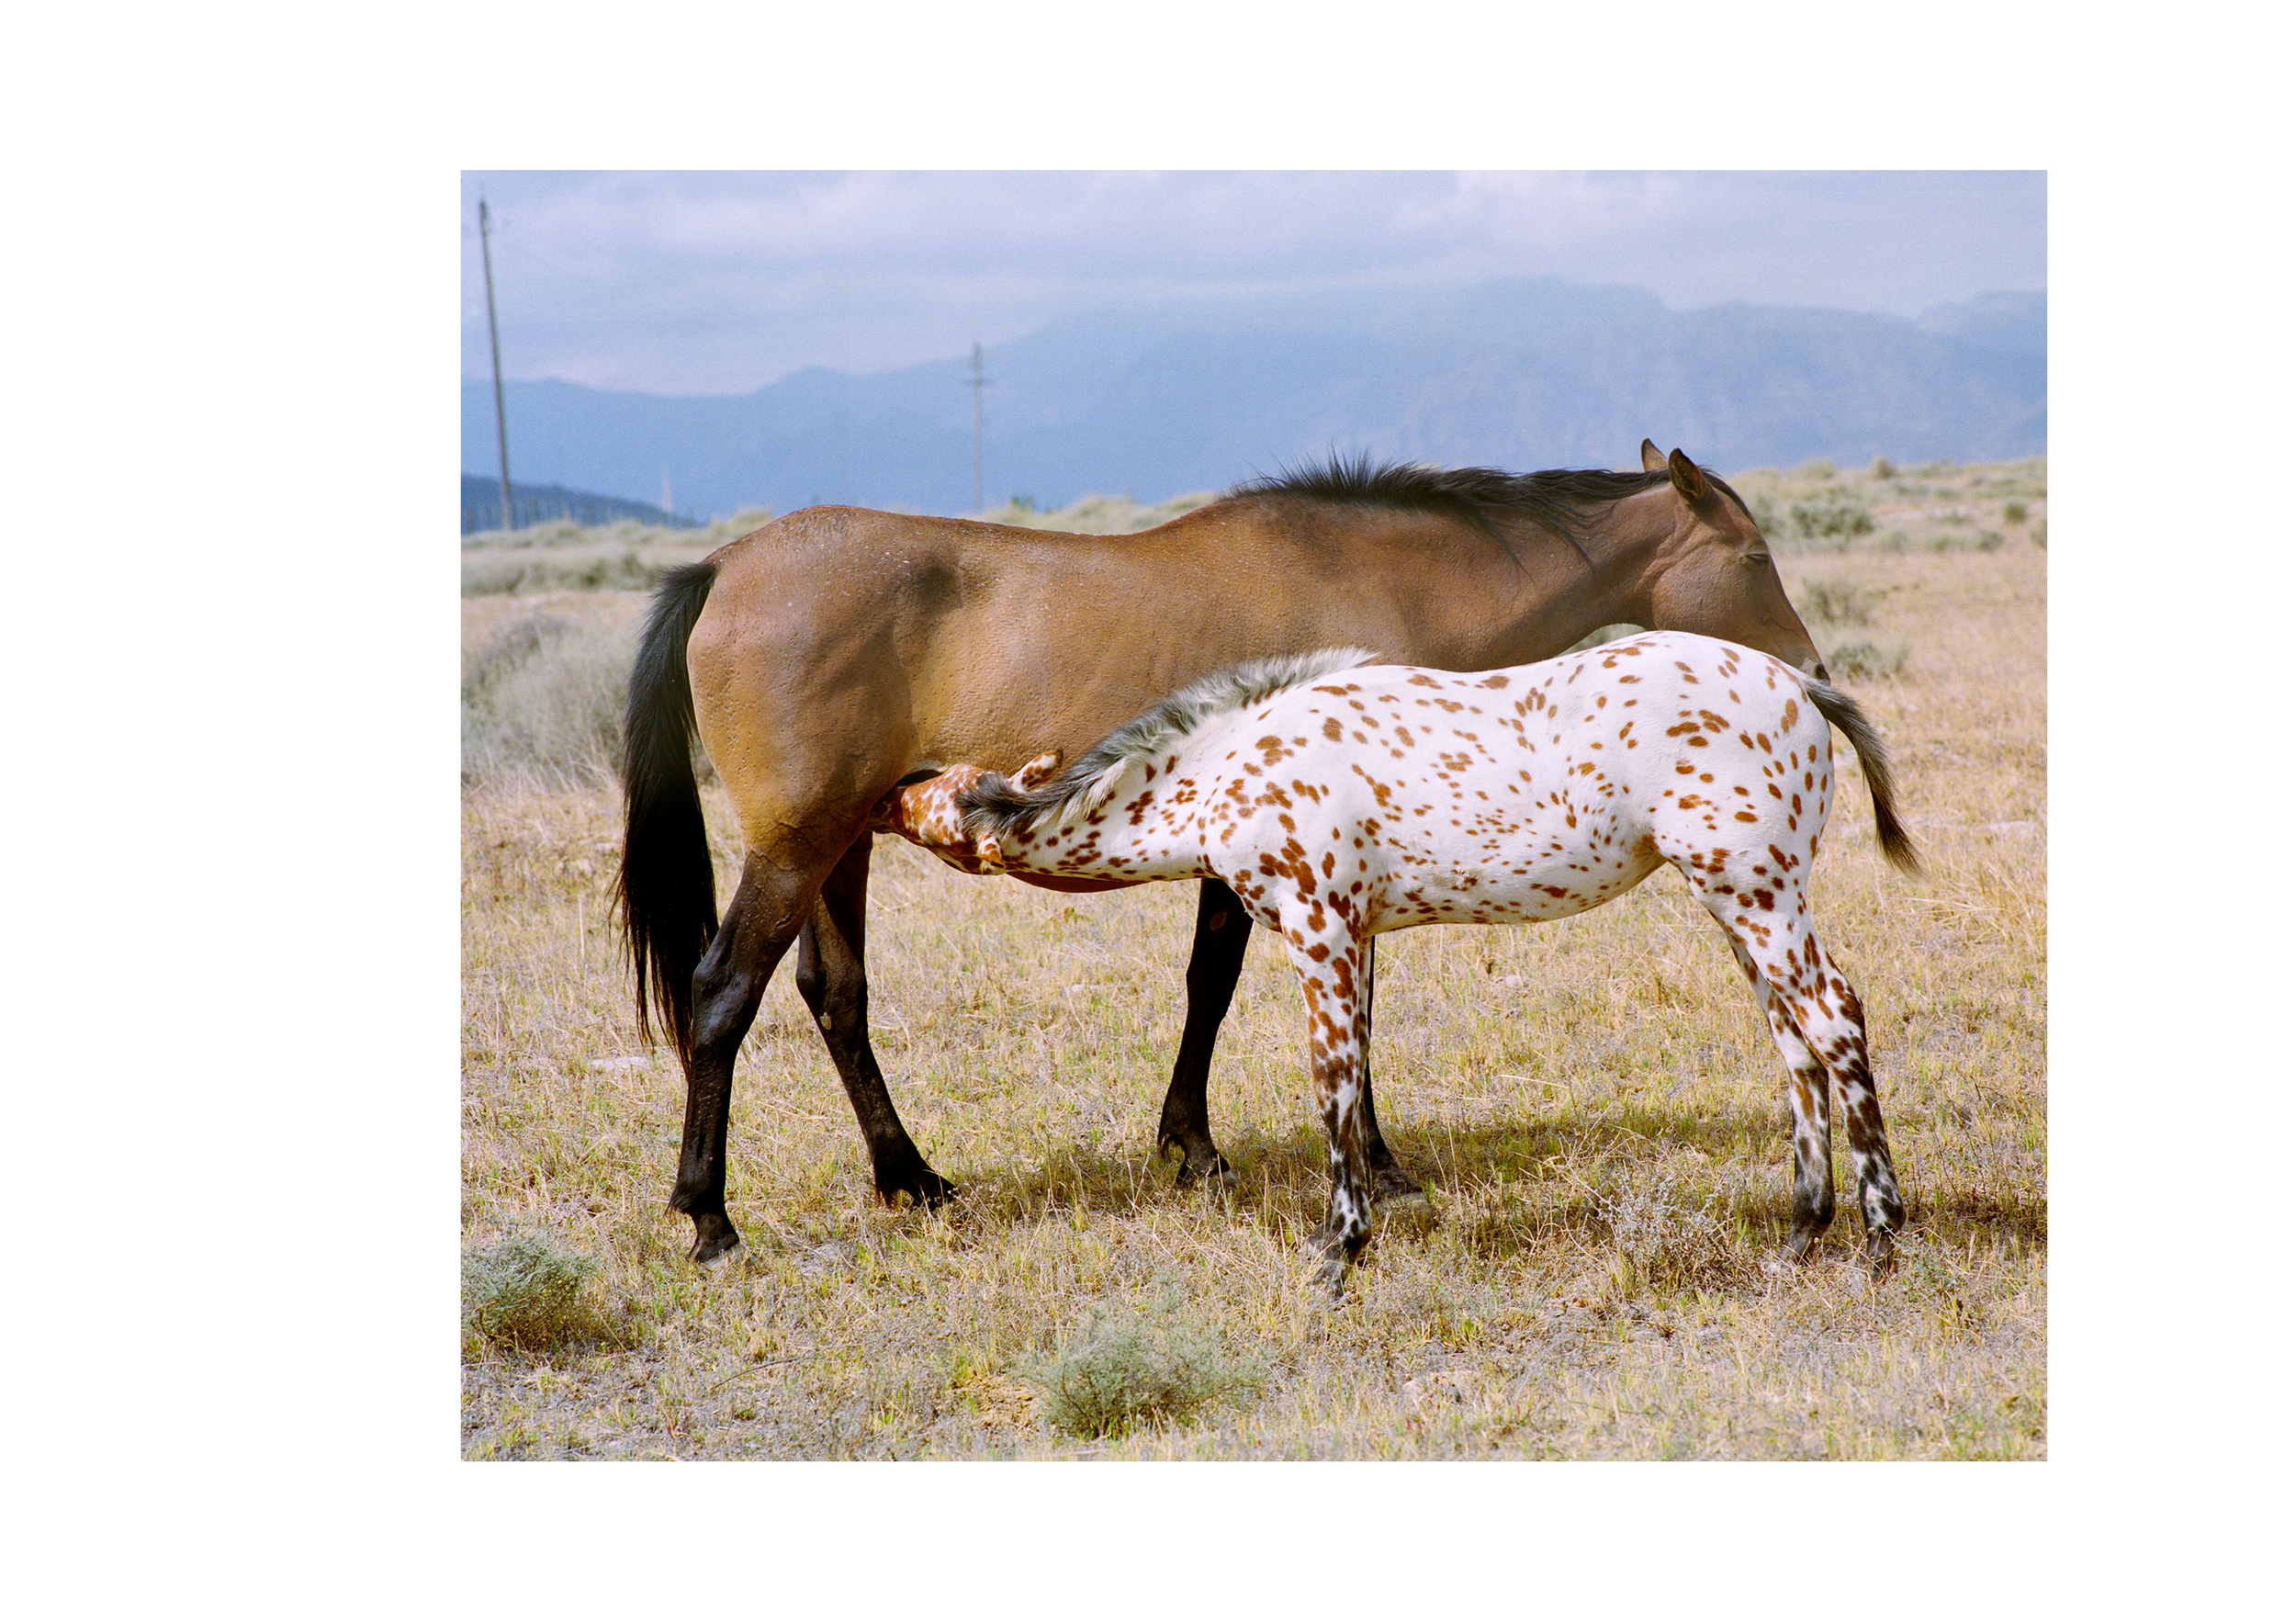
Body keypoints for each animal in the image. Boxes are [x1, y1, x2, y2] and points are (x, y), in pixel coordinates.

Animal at [620, 442, 1835, 1263]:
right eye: (1754, 553)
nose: (1808, 669)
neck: (1382, 580)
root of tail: (726, 567)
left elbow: (1210, 987)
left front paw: (1191, 1148)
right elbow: (1333, 1008)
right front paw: (1373, 1167)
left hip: (840, 849)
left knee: (837, 996)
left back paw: (910, 1178)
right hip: (795, 848)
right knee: (723, 994)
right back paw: (710, 1215)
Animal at [890, 630, 1919, 1293]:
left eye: (936, 797)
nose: (890, 788)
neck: (1230, 760)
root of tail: (1797, 685)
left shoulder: (1319, 930)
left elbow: (1330, 1079)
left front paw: (1336, 1251)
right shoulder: (1359, 936)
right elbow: (1358, 1074)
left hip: (1756, 896)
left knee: (1835, 1019)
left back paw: (1878, 1240)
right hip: (1740, 907)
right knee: (1795, 1045)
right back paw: (1799, 1237)